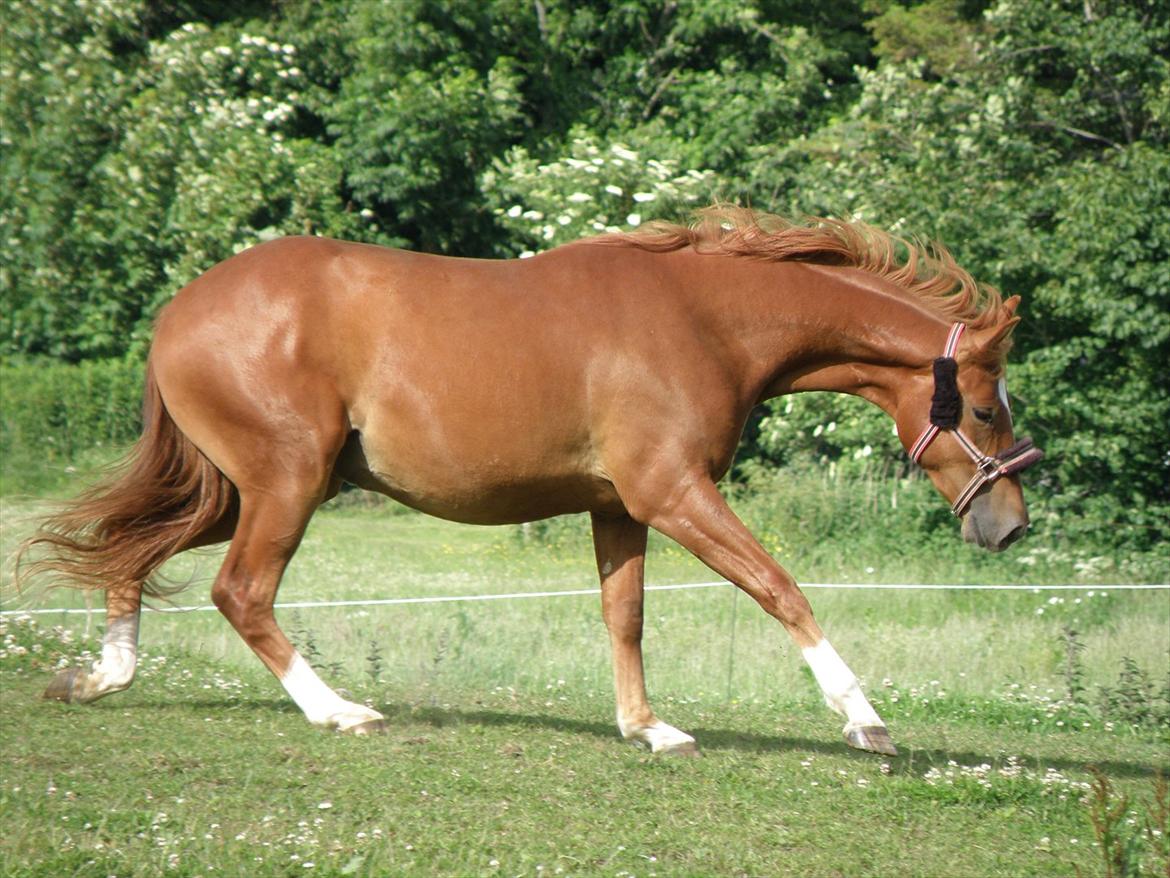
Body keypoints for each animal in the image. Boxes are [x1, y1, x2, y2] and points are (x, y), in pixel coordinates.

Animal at [18, 211, 1043, 758]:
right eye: (984, 409)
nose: (1009, 527)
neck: (702, 319)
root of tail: (179, 311)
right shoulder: (672, 492)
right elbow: (779, 588)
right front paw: (865, 720)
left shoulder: (619, 506)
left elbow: (625, 617)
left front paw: (649, 729)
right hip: (285, 484)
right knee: (242, 591)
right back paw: (338, 709)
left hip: (235, 489)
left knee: (129, 552)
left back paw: (100, 676)